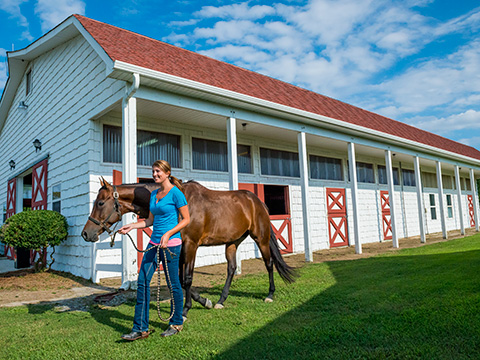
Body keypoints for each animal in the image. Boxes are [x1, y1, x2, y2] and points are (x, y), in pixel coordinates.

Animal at [81, 179, 296, 316]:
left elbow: (186, 278)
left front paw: (186, 309)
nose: (86, 234)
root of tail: (257, 202)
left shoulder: (191, 245)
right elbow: (175, 278)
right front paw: (202, 302)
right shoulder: (177, 248)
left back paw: (269, 295)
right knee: (231, 269)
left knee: (269, 264)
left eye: (100, 202)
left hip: (261, 238)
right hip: (233, 242)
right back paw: (220, 301)